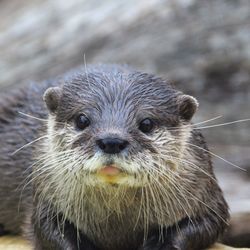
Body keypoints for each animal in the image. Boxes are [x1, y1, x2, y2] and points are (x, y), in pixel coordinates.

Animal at [0, 65, 229, 250]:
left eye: (147, 123)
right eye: (82, 119)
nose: (111, 141)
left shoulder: (206, 192)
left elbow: (207, 224)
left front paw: (159, 244)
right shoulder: (45, 198)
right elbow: (45, 228)